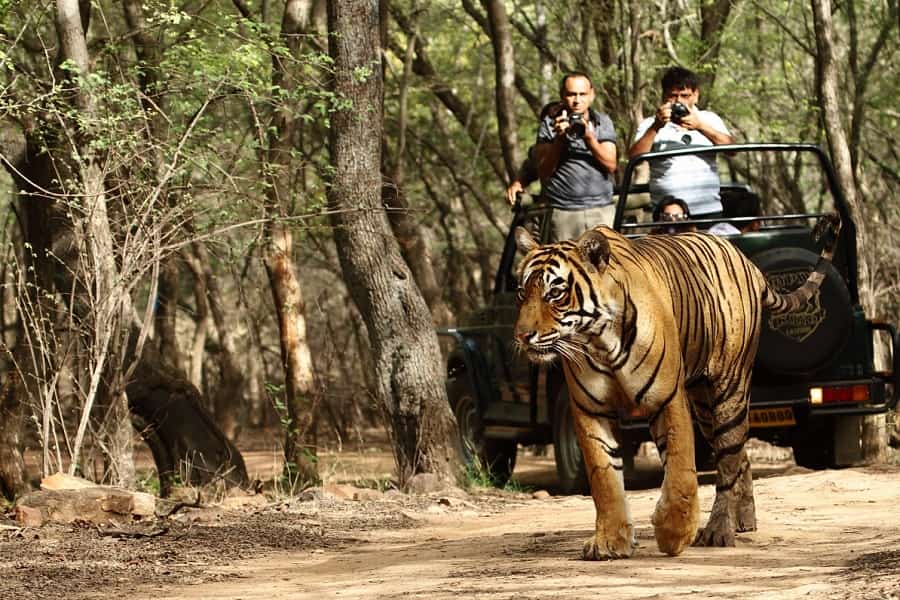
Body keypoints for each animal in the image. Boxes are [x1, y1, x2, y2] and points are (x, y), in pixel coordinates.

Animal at [513, 214, 841, 559]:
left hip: (729, 389)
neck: (599, 339)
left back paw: (718, 530)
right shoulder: (590, 409)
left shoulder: (666, 398)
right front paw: (609, 541)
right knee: (739, 455)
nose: (522, 336)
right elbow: (604, 478)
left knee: (728, 461)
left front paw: (674, 533)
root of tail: (748, 263)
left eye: (555, 293)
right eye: (521, 292)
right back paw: (744, 519)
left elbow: (681, 469)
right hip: (705, 406)